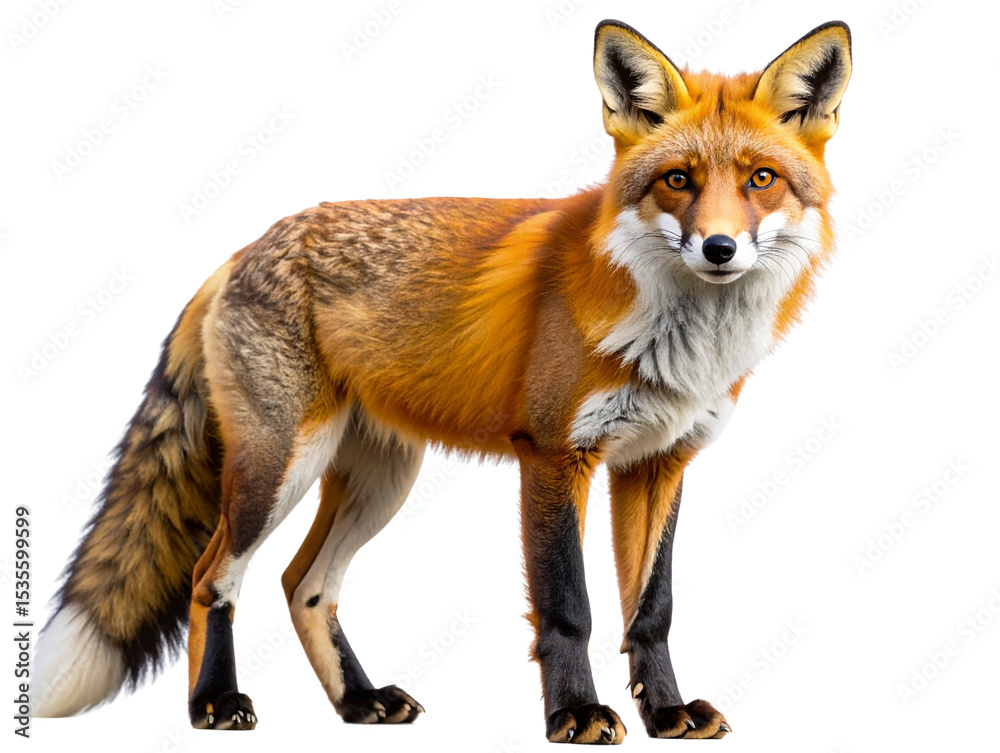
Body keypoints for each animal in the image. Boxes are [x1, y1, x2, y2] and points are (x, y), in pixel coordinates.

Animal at [33, 18, 851, 743]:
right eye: (678, 180)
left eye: (761, 180)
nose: (719, 249)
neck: (677, 339)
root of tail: (245, 246)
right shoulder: (554, 454)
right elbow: (569, 607)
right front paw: (576, 716)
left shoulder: (659, 462)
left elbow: (653, 610)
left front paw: (667, 713)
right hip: (280, 466)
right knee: (213, 577)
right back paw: (215, 703)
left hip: (380, 481)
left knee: (304, 585)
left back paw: (359, 702)